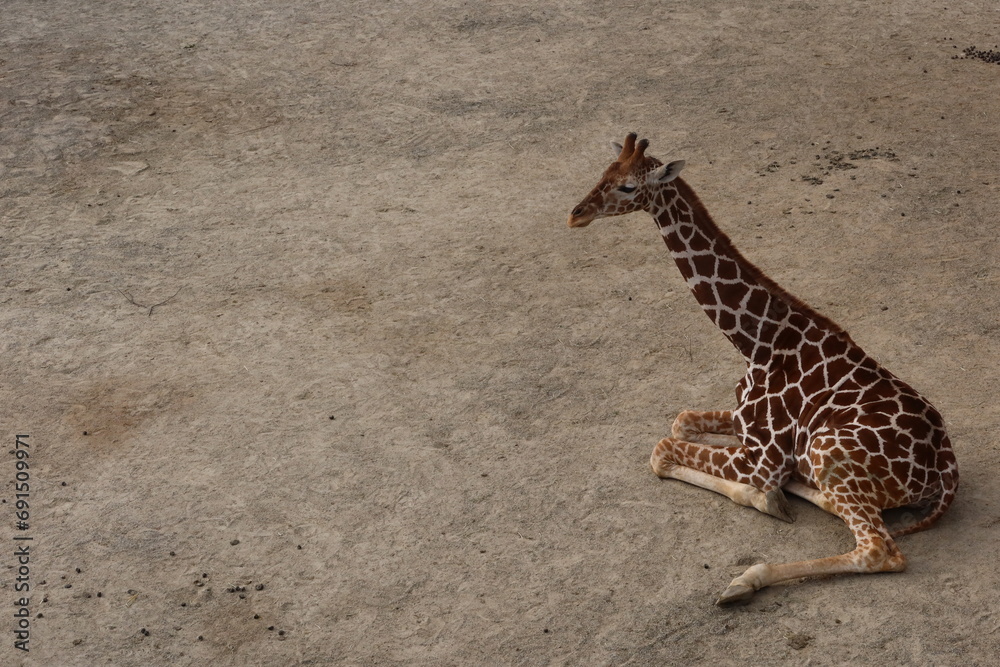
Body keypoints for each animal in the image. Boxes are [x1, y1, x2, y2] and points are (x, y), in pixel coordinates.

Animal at [567, 133, 959, 605]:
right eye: (604, 172)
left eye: (627, 187)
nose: (575, 214)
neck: (757, 342)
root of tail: (947, 468)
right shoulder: (743, 426)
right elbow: (680, 422)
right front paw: (768, 496)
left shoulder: (762, 460)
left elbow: (661, 449)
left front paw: (761, 499)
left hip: (828, 452)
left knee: (878, 549)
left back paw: (745, 580)